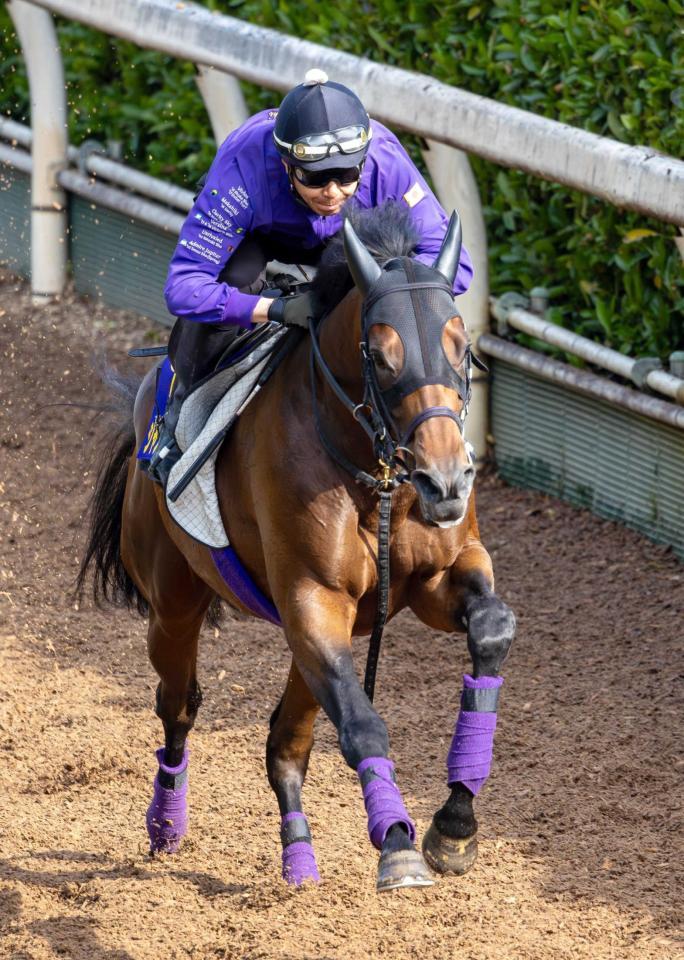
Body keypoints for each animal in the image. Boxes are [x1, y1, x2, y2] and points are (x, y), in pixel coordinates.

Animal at [77, 201, 512, 892]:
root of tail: (148, 395)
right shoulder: (312, 599)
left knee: (285, 740)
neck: (374, 477)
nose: (445, 480)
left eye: (461, 344)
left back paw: (299, 856)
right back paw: (166, 824)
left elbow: (492, 627)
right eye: (380, 355)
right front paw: (397, 843)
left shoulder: (436, 578)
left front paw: (453, 825)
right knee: (178, 706)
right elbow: (362, 724)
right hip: (174, 600)